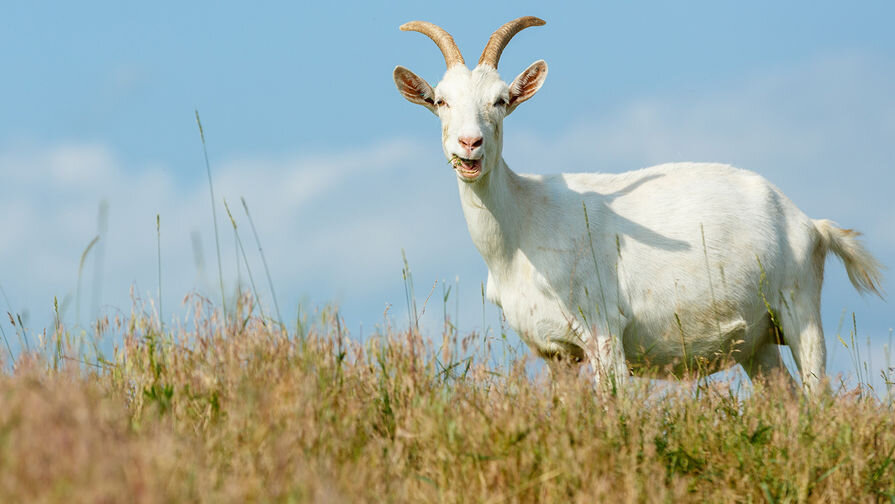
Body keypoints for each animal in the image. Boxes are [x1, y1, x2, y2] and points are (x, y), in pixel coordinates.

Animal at [393, 16, 884, 392]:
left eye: (500, 100)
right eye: (440, 100)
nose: (469, 144)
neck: (522, 228)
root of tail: (810, 223)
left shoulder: (603, 329)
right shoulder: (555, 352)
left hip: (800, 309)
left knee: (816, 394)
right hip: (760, 342)